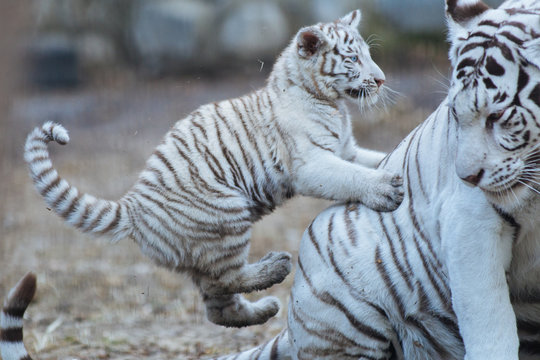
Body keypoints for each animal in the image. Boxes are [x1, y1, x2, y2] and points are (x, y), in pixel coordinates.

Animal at [22, 9, 404, 330]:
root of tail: (133, 205)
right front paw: (387, 190)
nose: (382, 80)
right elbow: (351, 176)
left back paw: (263, 309)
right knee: (228, 279)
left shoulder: (347, 150)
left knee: (217, 305)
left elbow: (372, 159)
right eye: (353, 59)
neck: (331, 103)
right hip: (228, 214)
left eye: (368, 55)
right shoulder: (312, 163)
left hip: (206, 249)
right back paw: (276, 266)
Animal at [214, 0, 540, 360]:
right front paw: (386, 188)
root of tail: (291, 327)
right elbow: (489, 323)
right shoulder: (472, 222)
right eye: (457, 113)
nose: (467, 178)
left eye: (497, 116)